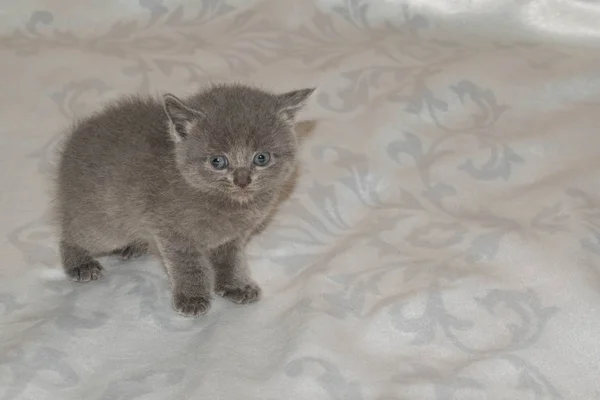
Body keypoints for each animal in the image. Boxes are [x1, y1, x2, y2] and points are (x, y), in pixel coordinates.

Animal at [55, 83, 314, 316]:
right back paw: (81, 263)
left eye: (261, 158)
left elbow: (232, 260)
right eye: (218, 161)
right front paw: (192, 298)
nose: (242, 180)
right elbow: (188, 264)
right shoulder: (171, 231)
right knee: (70, 234)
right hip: (103, 222)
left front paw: (236, 286)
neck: (227, 205)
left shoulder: (232, 237)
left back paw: (132, 245)